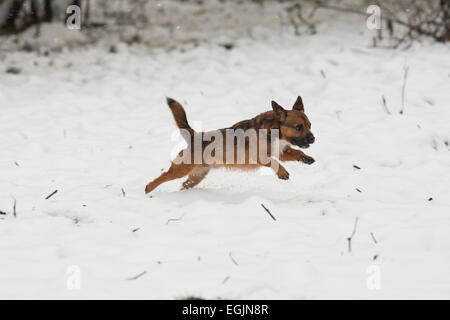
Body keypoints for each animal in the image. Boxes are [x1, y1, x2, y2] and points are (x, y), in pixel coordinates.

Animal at [146, 96, 314, 194]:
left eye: (310, 125)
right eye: (298, 127)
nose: (313, 139)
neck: (275, 132)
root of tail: (194, 136)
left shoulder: (282, 152)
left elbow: (296, 153)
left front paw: (306, 158)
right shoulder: (260, 156)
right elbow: (275, 162)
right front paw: (282, 172)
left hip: (197, 175)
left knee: (184, 184)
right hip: (182, 168)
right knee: (162, 177)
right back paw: (148, 190)